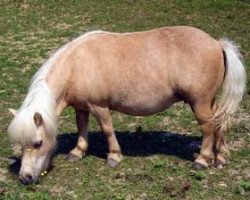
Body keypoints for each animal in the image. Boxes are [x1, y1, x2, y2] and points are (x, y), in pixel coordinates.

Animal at [8, 25, 246, 184]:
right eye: (20, 143)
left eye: (38, 143)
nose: (25, 178)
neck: (77, 64)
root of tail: (217, 44)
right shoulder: (81, 107)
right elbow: (82, 128)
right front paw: (78, 152)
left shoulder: (99, 107)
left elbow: (107, 129)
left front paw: (114, 156)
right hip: (208, 103)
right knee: (218, 123)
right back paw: (220, 157)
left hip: (199, 102)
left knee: (208, 127)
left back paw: (203, 160)